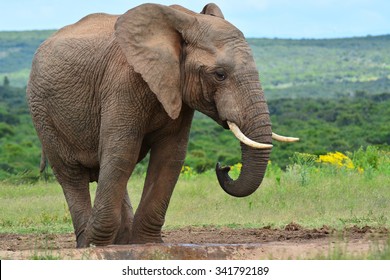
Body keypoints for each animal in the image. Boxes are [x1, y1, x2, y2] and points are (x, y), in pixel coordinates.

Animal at [25, 2, 298, 247]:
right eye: (219, 75)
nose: (224, 167)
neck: (183, 20)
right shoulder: (122, 81)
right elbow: (122, 152)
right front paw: (98, 246)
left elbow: (170, 156)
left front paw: (146, 244)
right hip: (42, 112)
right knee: (72, 173)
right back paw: (87, 243)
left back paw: (121, 241)